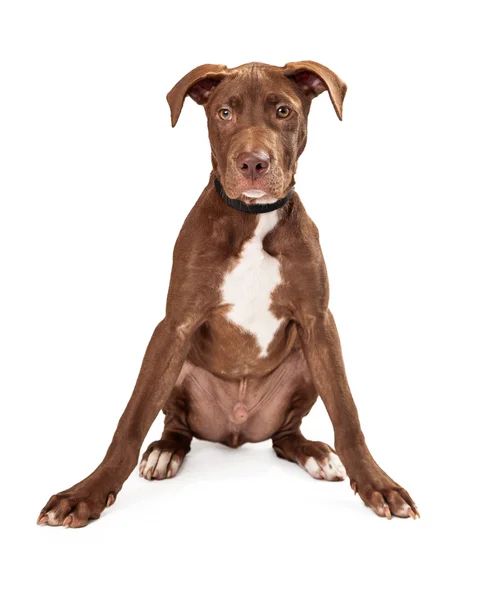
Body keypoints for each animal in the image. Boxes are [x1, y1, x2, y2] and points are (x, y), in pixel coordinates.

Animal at [38, 61, 420, 528]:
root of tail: (235, 431)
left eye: (282, 110)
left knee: (284, 436)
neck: (252, 219)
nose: (253, 163)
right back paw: (165, 452)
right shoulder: (174, 324)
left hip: (303, 365)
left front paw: (377, 485)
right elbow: (131, 419)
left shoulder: (319, 323)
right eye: (224, 113)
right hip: (179, 367)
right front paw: (87, 493)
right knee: (175, 424)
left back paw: (312, 453)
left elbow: (347, 414)